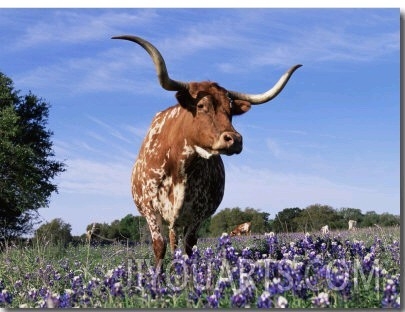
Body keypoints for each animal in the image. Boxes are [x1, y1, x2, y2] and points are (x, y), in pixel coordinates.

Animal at [112, 35, 302, 266]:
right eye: (201, 105)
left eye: (231, 111)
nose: (234, 139)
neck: (180, 166)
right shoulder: (151, 210)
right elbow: (159, 247)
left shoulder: (198, 213)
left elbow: (189, 246)